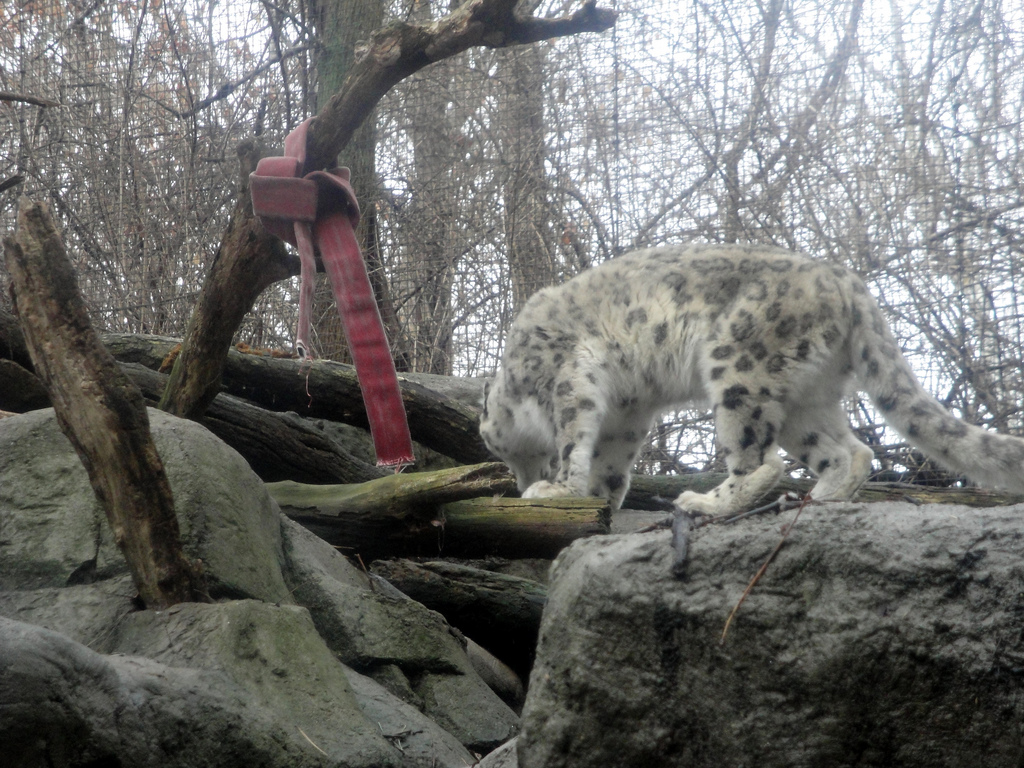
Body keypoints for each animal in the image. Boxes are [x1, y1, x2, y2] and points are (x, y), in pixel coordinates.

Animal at [479, 243, 1024, 517]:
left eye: (497, 449)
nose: (518, 482)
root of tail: (846, 280)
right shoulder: (626, 414)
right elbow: (611, 462)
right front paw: (596, 497)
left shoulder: (567, 380)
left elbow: (572, 441)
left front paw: (555, 491)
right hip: (806, 395)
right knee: (848, 451)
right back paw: (821, 498)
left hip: (740, 365)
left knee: (760, 460)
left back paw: (706, 502)